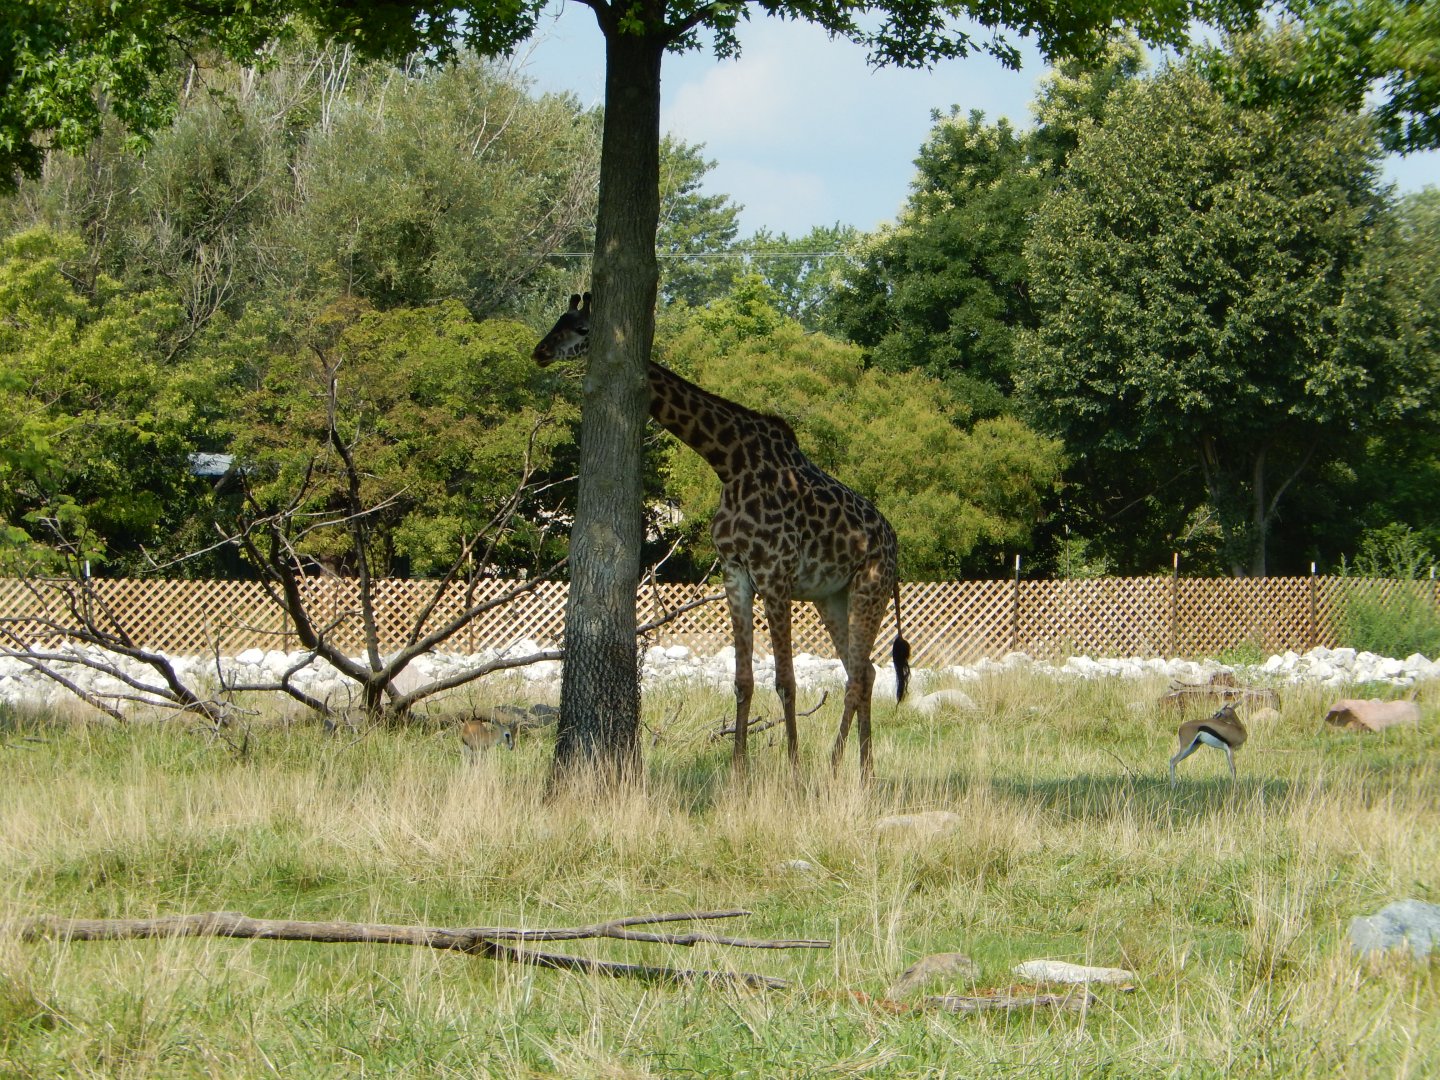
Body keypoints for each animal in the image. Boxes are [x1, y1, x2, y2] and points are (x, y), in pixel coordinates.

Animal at [533, 293, 910, 778]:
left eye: (581, 328)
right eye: (558, 321)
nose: (540, 351)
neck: (728, 462)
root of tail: (894, 543)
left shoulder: (775, 573)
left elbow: (785, 680)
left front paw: (792, 771)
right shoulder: (736, 572)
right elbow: (743, 679)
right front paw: (738, 771)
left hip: (870, 587)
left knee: (861, 673)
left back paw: (842, 768)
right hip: (833, 597)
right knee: (864, 672)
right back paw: (854, 768)